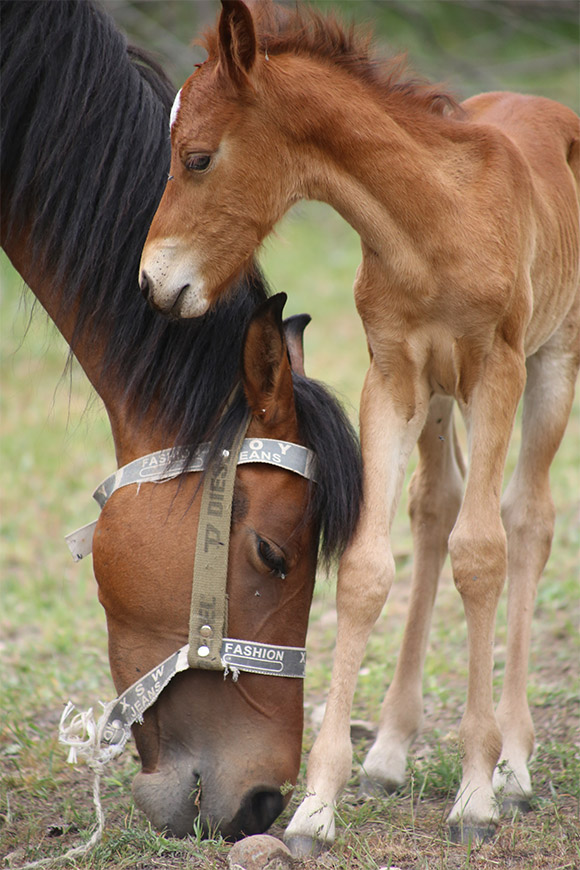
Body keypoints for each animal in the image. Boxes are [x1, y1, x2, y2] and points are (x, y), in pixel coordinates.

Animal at [140, 0, 580, 860]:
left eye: (197, 157)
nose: (152, 281)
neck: (434, 220)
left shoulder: (498, 370)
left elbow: (484, 555)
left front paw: (476, 795)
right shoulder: (394, 375)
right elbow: (371, 566)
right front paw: (318, 806)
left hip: (552, 364)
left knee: (526, 520)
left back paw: (514, 763)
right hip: (440, 399)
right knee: (436, 507)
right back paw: (390, 755)